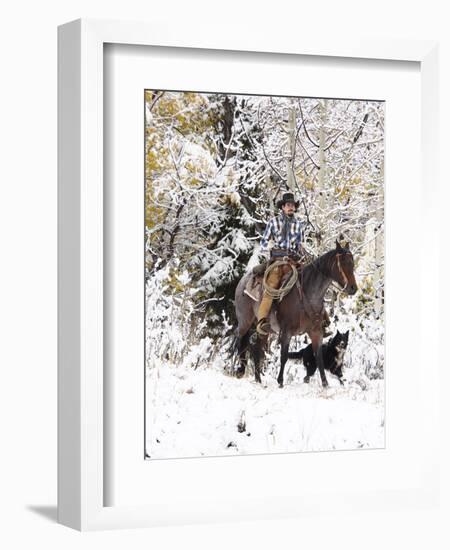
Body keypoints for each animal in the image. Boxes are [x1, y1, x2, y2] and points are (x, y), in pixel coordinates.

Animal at [234, 242, 356, 388]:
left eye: (352, 263)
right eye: (342, 262)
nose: (353, 288)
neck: (308, 294)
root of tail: (243, 280)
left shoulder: (316, 332)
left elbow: (319, 357)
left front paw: (325, 384)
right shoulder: (286, 332)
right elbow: (284, 356)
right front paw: (280, 381)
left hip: (264, 330)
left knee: (257, 348)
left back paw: (258, 380)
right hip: (245, 321)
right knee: (241, 341)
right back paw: (241, 371)